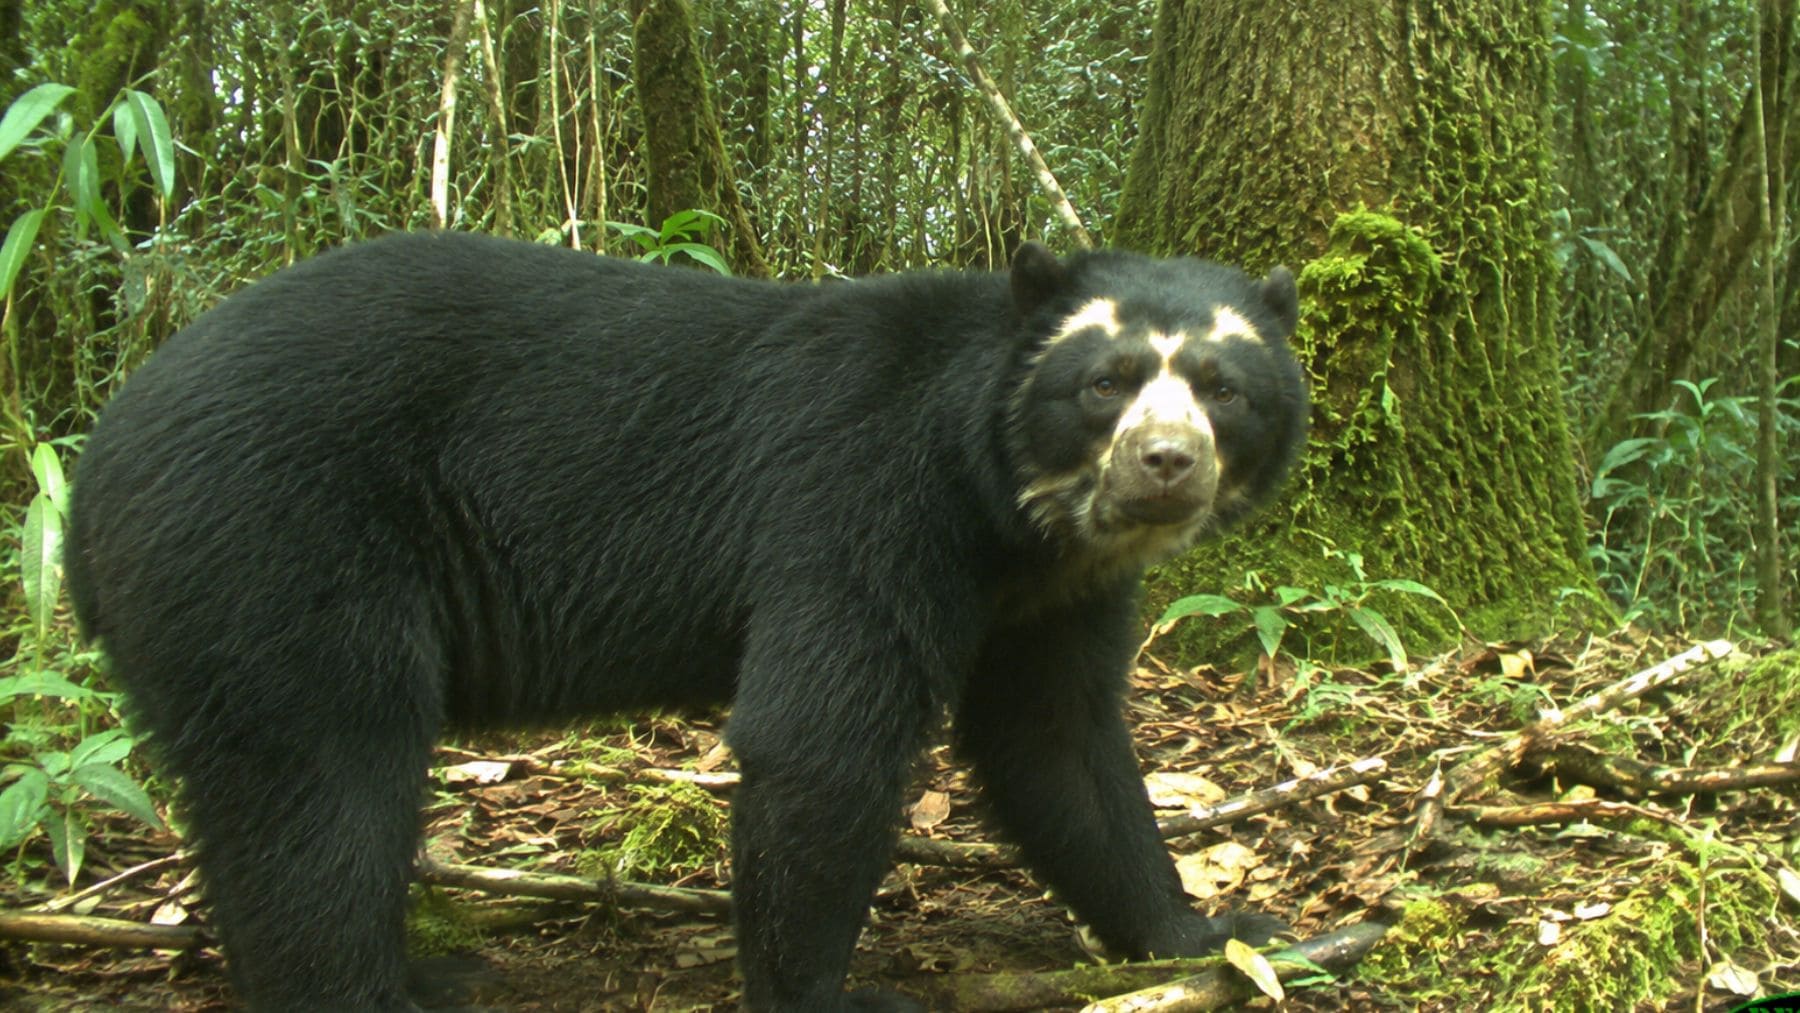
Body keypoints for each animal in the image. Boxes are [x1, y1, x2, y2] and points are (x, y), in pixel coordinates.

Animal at [64, 232, 1307, 1011]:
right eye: (1106, 381)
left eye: (1225, 387)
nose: (1166, 464)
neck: (1012, 516)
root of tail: (90, 476)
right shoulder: (864, 503)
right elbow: (819, 743)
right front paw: (831, 993)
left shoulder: (1054, 593)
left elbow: (1059, 746)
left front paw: (1211, 933)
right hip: (274, 551)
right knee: (323, 779)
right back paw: (373, 987)